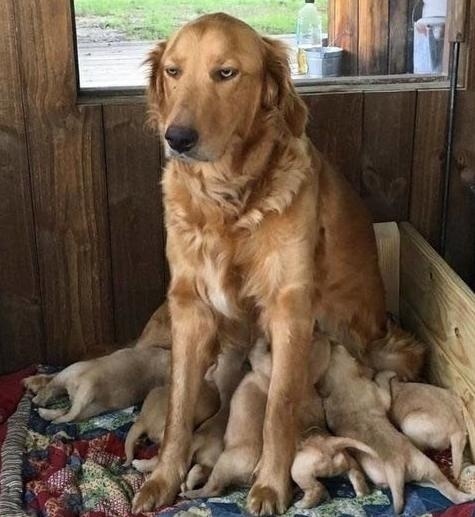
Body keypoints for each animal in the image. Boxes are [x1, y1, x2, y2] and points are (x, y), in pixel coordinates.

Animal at [23, 342, 171, 424]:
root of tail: (90, 385)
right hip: (90, 406)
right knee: (66, 410)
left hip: (70, 373)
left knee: (53, 394)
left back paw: (39, 404)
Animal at [132, 13, 426, 516]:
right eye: (173, 71)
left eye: (225, 73)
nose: (178, 139)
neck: (228, 199)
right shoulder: (189, 305)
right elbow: (177, 405)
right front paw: (163, 479)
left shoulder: (289, 308)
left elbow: (279, 407)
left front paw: (270, 484)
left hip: (392, 349)